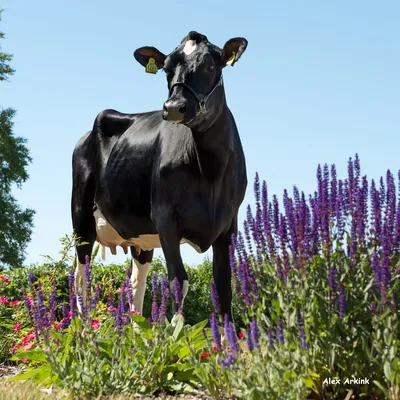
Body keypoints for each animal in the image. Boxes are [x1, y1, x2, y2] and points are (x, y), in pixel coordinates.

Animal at [70, 29, 248, 320]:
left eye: (210, 65)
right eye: (166, 68)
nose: (174, 106)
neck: (209, 169)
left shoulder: (228, 224)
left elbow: (224, 288)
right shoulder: (165, 218)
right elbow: (178, 281)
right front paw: (175, 330)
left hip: (139, 238)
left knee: (136, 282)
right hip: (81, 217)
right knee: (81, 278)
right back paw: (82, 328)